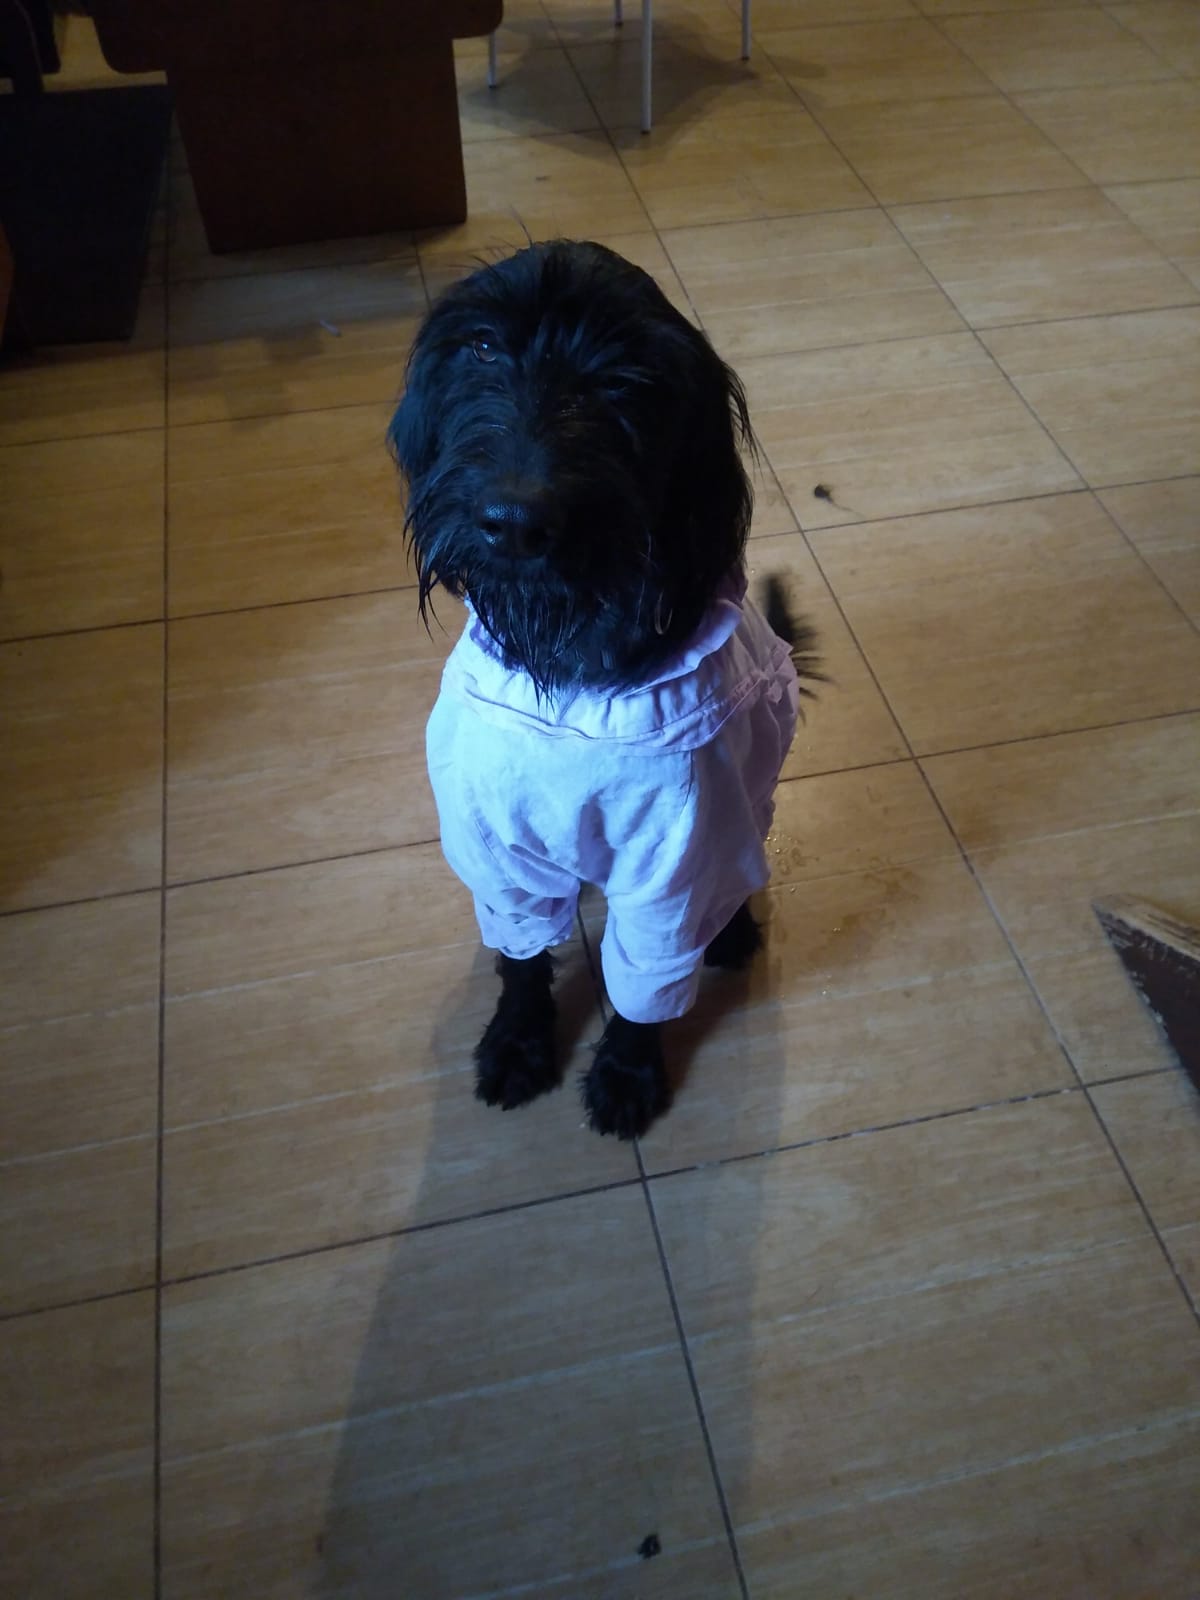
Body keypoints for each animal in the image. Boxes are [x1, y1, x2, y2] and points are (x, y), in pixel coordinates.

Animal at [390, 240, 818, 1139]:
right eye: (483, 348)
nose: (515, 522)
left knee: (738, 873)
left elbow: (645, 980)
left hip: (746, 805)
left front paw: (626, 1070)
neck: (574, 678)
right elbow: (521, 955)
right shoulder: (500, 853)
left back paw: (731, 934)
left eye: (626, 381)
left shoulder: (676, 864)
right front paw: (517, 1041)